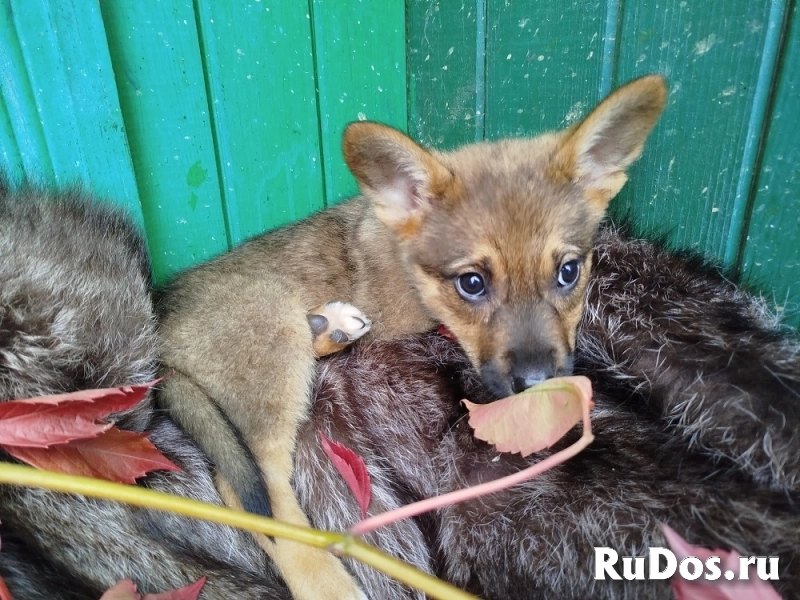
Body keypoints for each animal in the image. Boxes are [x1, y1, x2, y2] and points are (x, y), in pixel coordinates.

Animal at [156, 76, 668, 600]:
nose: (538, 386)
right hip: (271, 341)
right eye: (472, 283)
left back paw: (331, 326)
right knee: (249, 491)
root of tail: (161, 333)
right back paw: (328, 583)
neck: (413, 274)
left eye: (568, 272)